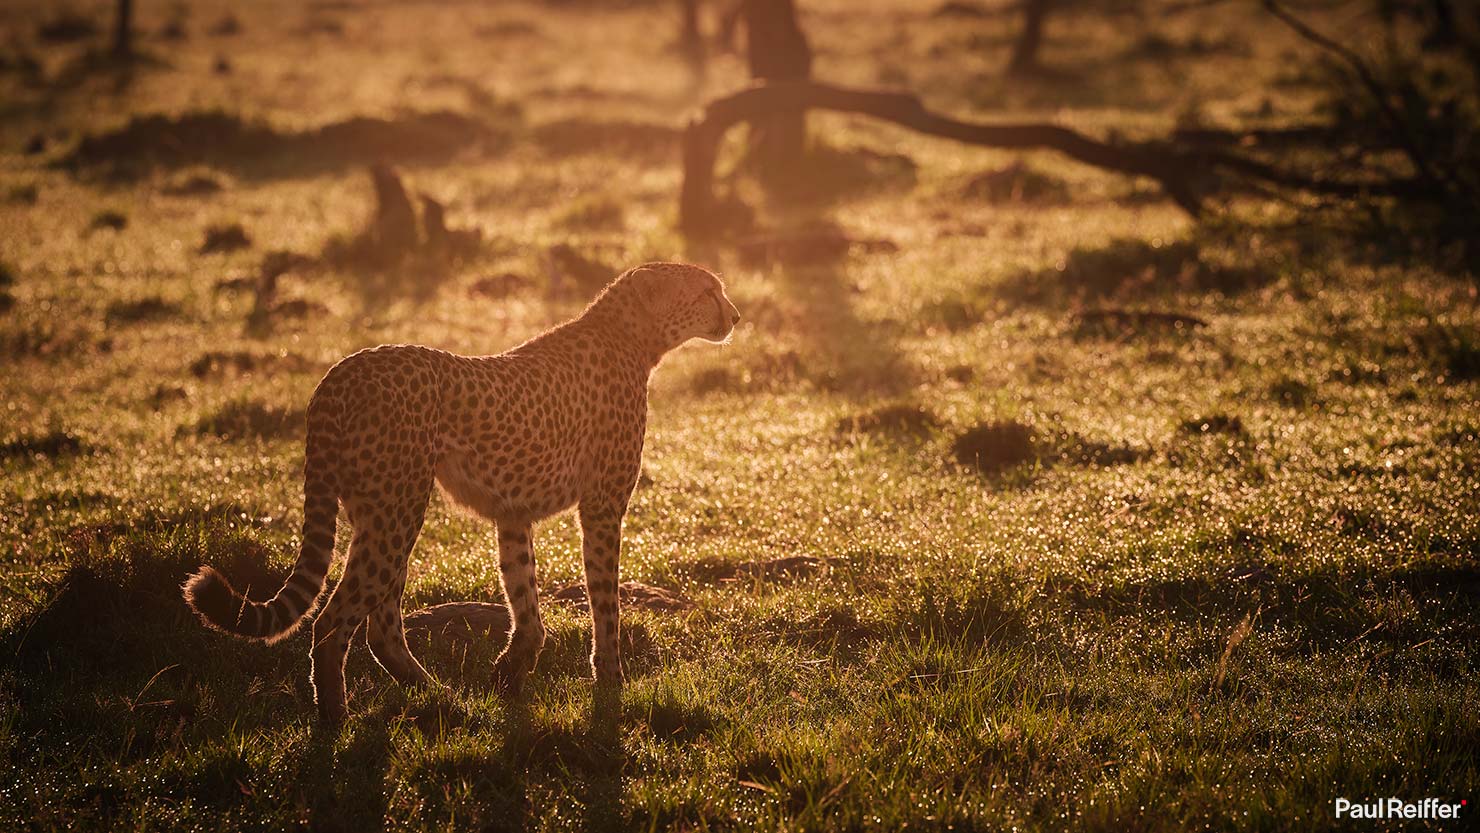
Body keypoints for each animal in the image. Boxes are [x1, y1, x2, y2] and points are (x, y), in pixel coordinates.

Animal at [183, 262, 741, 723]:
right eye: (708, 290)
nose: (735, 315)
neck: (634, 337)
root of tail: (339, 373)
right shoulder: (602, 507)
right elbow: (605, 600)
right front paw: (610, 681)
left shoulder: (513, 513)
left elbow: (524, 595)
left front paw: (512, 670)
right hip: (398, 509)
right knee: (334, 622)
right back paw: (336, 717)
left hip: (381, 510)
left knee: (379, 622)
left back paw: (433, 693)